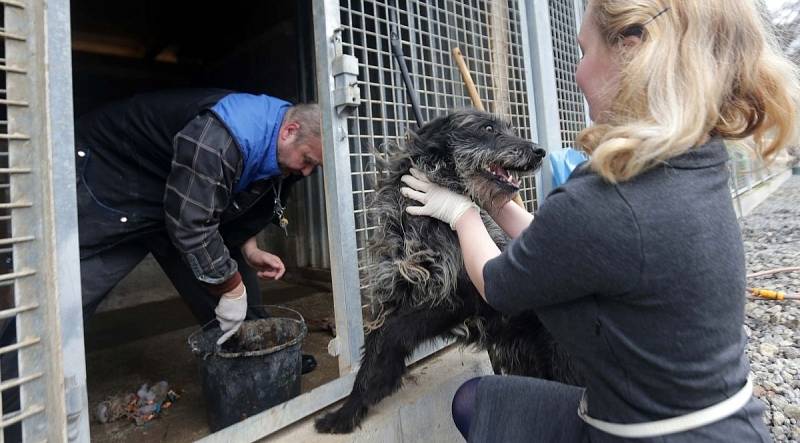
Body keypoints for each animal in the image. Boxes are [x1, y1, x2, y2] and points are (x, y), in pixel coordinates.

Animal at [316, 109, 580, 436]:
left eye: (508, 128)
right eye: (488, 128)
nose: (539, 151)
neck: (423, 221)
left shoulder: (460, 297)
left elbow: (394, 333)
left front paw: (378, 386)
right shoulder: (394, 290)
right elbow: (374, 351)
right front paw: (349, 411)